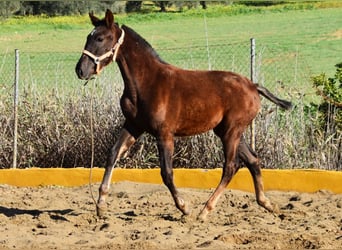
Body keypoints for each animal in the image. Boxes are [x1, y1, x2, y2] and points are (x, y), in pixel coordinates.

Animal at [75, 9, 292, 220]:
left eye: (100, 38)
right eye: (88, 37)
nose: (80, 70)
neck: (146, 83)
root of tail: (253, 86)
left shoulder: (164, 134)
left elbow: (167, 172)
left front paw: (184, 207)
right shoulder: (133, 125)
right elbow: (113, 154)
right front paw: (101, 205)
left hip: (232, 131)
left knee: (231, 166)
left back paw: (205, 211)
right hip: (228, 131)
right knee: (253, 160)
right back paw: (267, 204)